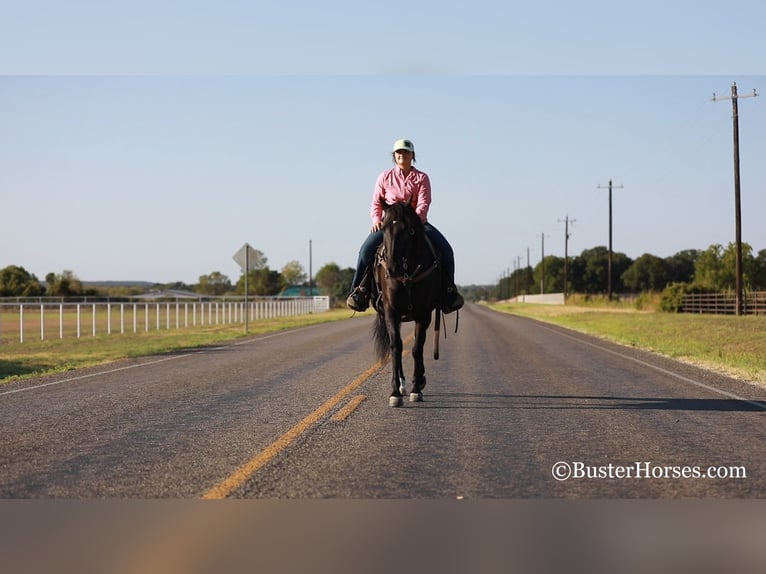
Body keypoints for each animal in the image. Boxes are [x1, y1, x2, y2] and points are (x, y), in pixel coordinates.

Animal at [372, 202, 444, 410]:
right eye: (383, 228)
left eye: (409, 230)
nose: (391, 267)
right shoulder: (391, 311)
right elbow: (397, 346)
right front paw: (395, 392)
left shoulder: (424, 313)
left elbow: (417, 348)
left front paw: (416, 388)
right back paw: (402, 384)